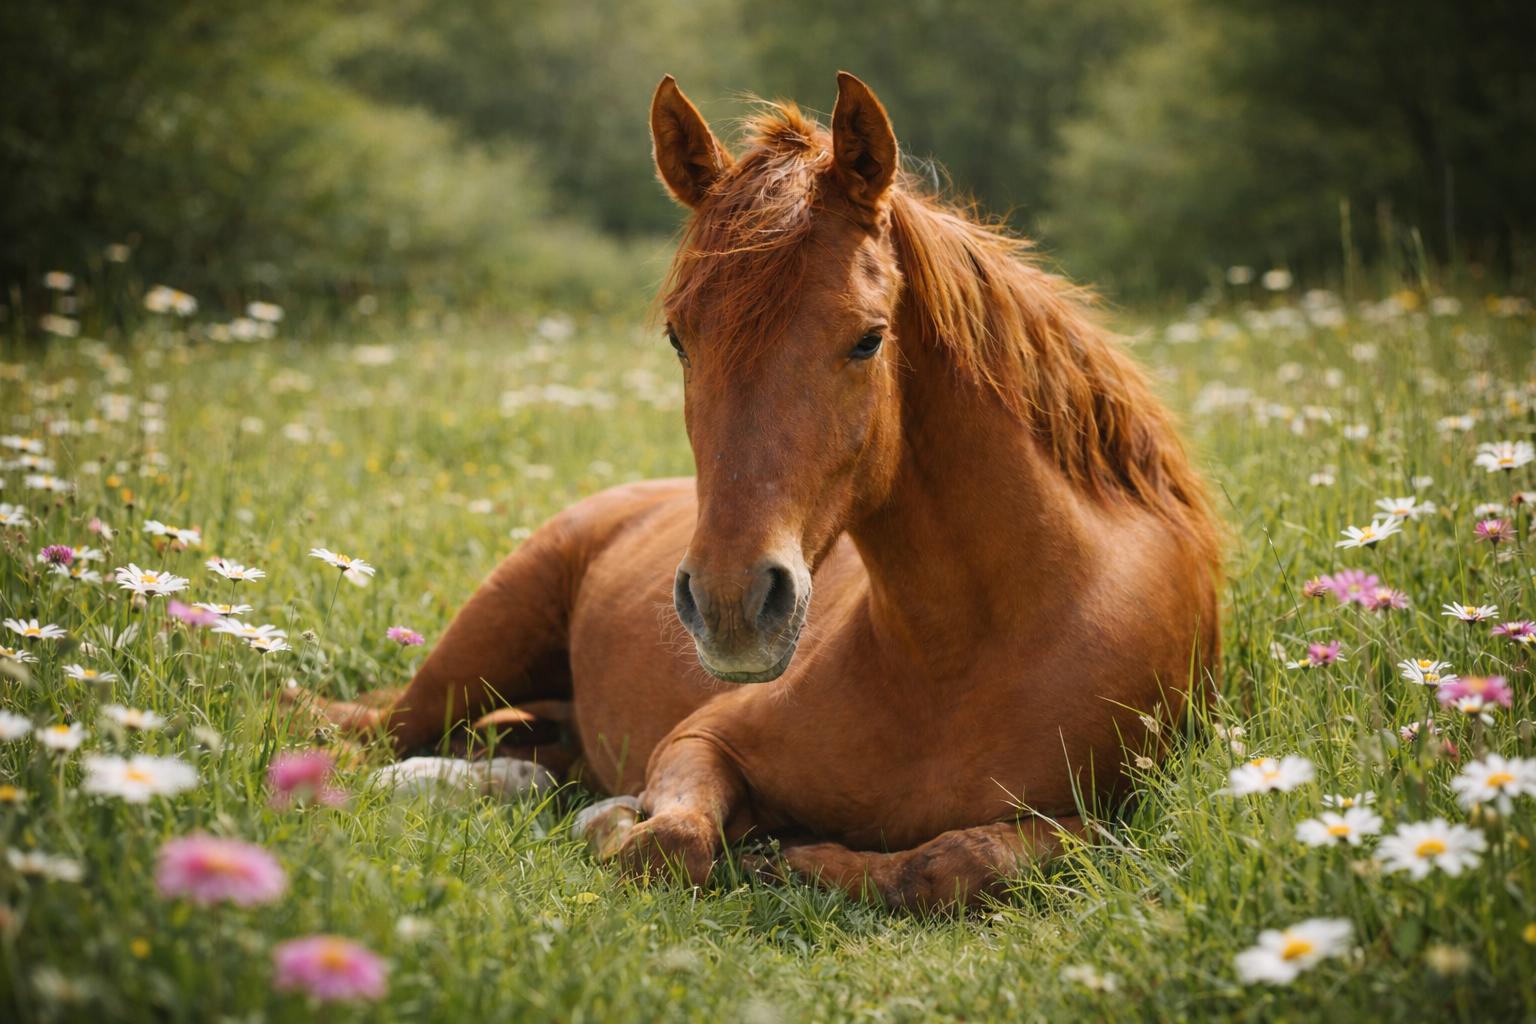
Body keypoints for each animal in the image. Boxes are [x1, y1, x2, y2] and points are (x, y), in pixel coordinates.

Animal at [302, 72, 1222, 910]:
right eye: (679, 337)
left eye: (869, 338)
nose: (732, 607)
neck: (970, 657)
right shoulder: (701, 739)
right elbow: (667, 843)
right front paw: (638, 824)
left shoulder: (1115, 816)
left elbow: (957, 860)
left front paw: (801, 858)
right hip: (470, 657)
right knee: (357, 727)